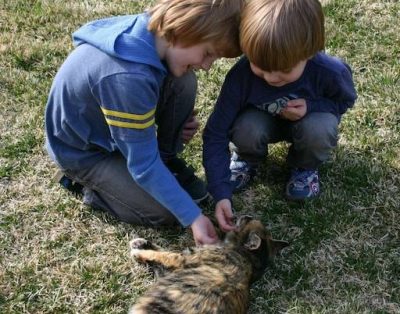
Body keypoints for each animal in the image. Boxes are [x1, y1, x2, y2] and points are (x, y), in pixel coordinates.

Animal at [128, 216, 288, 314]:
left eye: (247, 221)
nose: (246, 216)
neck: (248, 259)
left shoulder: (185, 258)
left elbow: (164, 254)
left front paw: (138, 252)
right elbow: (160, 252)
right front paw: (141, 243)